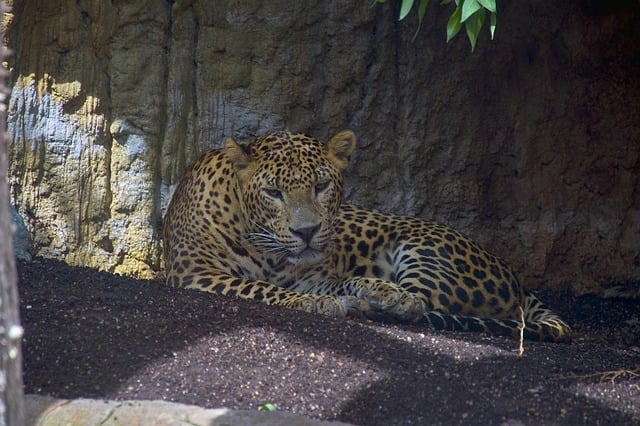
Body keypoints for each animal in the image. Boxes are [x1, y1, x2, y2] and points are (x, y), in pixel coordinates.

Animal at [162, 129, 572, 342]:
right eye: (274, 192)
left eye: (322, 186)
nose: (307, 231)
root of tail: (517, 280)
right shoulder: (196, 274)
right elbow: (262, 288)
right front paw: (316, 303)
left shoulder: (313, 275)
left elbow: (346, 281)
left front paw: (384, 293)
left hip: (425, 251)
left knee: (429, 306)